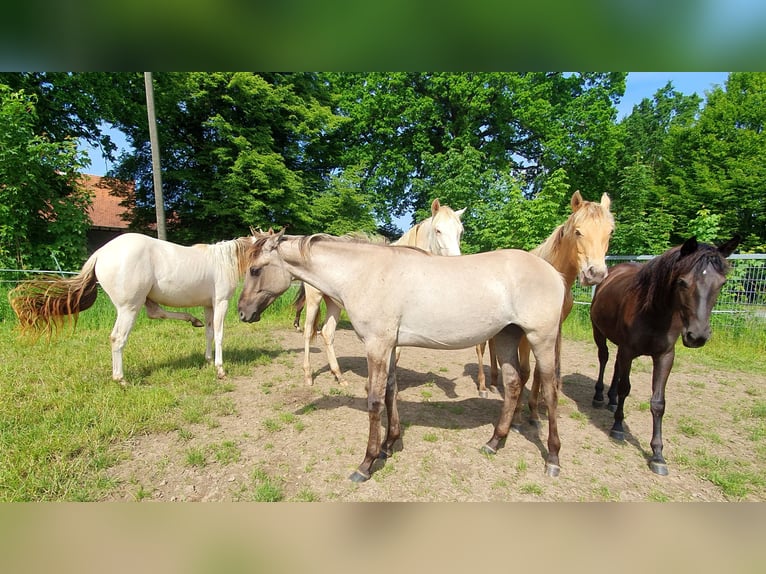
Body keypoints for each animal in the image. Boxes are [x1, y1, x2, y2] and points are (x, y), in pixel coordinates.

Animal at [9, 232, 251, 384]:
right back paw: (121, 379)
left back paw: (192, 320)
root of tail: (100, 254)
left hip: (142, 301)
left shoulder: (208, 304)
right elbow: (219, 333)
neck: (224, 260)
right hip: (129, 308)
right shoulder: (221, 302)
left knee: (155, 313)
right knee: (118, 338)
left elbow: (209, 332)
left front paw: (208, 360)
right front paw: (220, 369)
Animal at [238, 229, 566, 481]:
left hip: (541, 339)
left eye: (255, 270)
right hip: (507, 336)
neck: (364, 274)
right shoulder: (390, 346)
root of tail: (554, 272)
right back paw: (495, 442)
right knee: (512, 386)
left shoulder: (377, 345)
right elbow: (390, 391)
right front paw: (389, 444)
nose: (243, 313)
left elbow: (374, 400)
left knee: (550, 392)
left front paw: (367, 463)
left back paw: (552, 459)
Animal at [293, 198, 465, 386]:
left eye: (460, 231)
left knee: (327, 333)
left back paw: (339, 376)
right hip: (314, 299)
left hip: (333, 303)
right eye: (438, 230)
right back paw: (308, 375)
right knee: (308, 332)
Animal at [475, 191, 614, 430]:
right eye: (578, 231)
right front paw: (517, 417)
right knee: (481, 348)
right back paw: (484, 387)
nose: (595, 274)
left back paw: (494, 382)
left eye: (610, 232)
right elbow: (525, 372)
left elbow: (540, 372)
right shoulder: (526, 334)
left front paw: (534, 414)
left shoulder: (552, 330)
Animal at [590, 235, 740, 475]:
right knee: (604, 358)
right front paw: (618, 427)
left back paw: (611, 400)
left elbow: (658, 402)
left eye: (721, 284)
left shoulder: (665, 356)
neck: (654, 312)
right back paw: (599, 396)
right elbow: (625, 388)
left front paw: (658, 455)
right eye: (683, 282)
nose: (697, 336)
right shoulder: (629, 350)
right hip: (600, 332)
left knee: (615, 366)